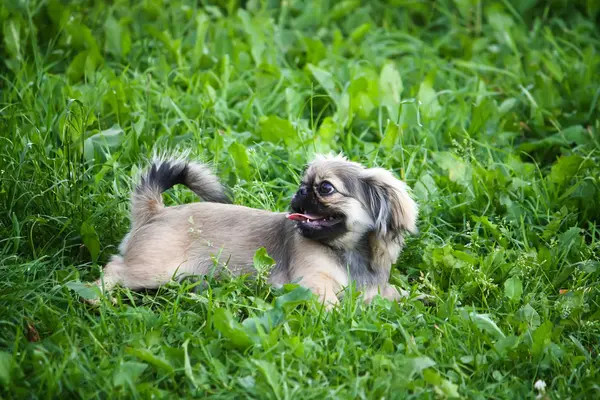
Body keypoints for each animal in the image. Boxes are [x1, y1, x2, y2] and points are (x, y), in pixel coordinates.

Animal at [89, 153, 418, 306]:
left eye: (325, 188)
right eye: (305, 184)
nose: (299, 192)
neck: (347, 253)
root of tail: (155, 212)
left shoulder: (374, 290)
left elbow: (397, 294)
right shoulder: (313, 283)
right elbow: (330, 301)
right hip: (154, 270)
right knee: (113, 268)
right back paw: (96, 298)